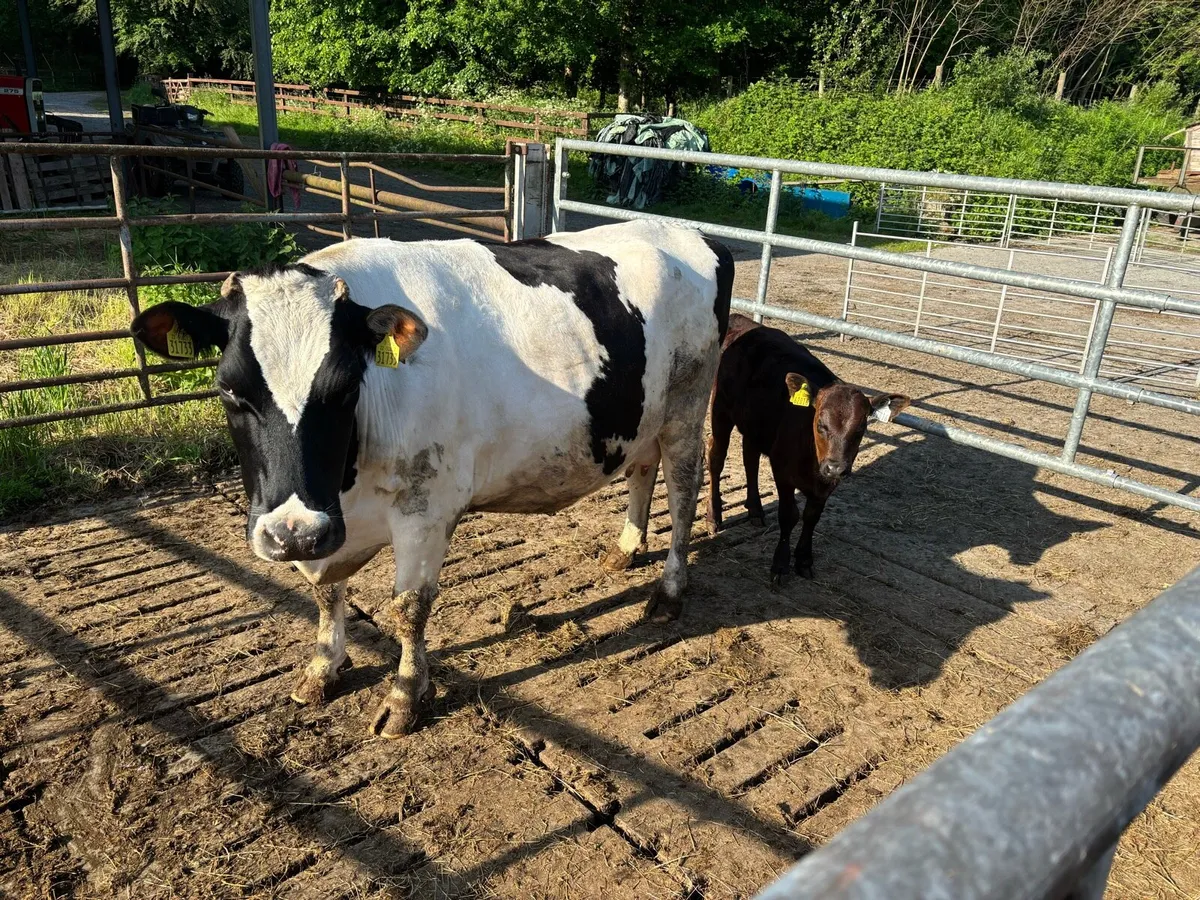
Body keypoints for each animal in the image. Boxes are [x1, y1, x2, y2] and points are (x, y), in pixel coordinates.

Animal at [130, 220, 734, 738]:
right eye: (230, 389)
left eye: (344, 386)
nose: (292, 533)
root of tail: (694, 234)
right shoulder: (325, 523)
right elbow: (325, 593)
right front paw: (323, 668)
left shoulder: (426, 508)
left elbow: (409, 607)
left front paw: (403, 697)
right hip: (642, 417)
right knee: (642, 470)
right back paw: (626, 548)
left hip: (687, 405)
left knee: (684, 491)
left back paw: (668, 591)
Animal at [706, 315, 909, 584]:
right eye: (821, 423)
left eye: (861, 428)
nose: (835, 467)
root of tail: (740, 320)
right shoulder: (782, 469)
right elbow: (789, 515)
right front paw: (780, 564)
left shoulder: (828, 484)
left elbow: (812, 517)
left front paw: (804, 559)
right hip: (720, 409)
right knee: (716, 457)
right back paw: (714, 517)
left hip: (755, 425)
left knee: (750, 458)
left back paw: (756, 510)